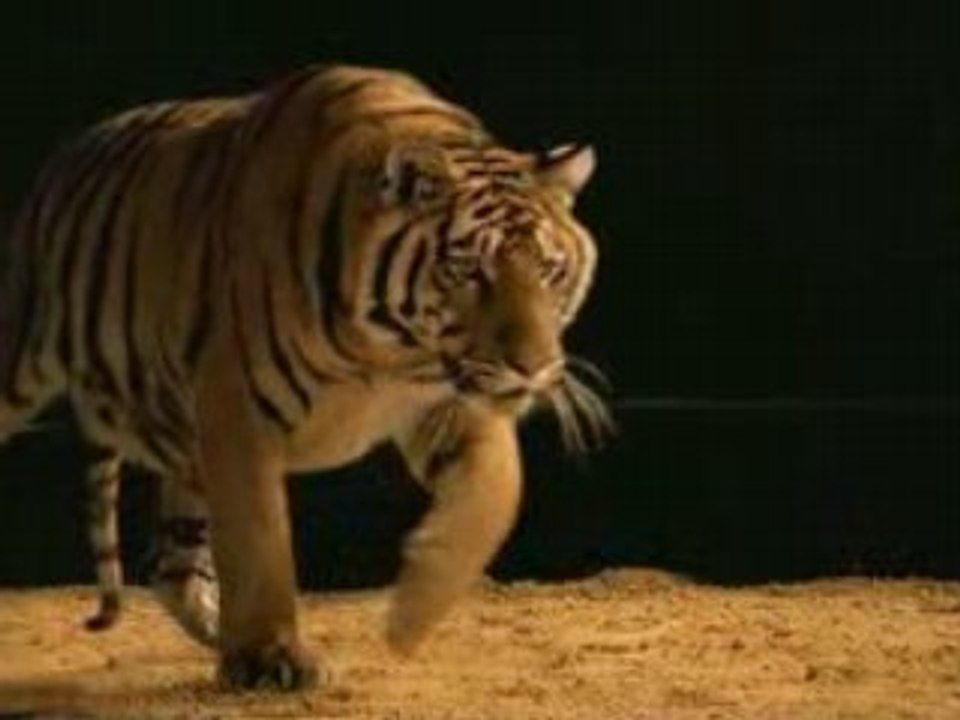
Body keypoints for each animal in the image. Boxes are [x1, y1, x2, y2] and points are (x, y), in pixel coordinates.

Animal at [0, 64, 610, 691]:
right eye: (467, 269)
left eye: (550, 270)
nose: (534, 366)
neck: (389, 351)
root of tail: (65, 157)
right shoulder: (235, 407)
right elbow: (259, 538)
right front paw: (270, 657)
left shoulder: (443, 399)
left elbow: (495, 496)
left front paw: (411, 614)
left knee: (172, 566)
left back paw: (219, 633)